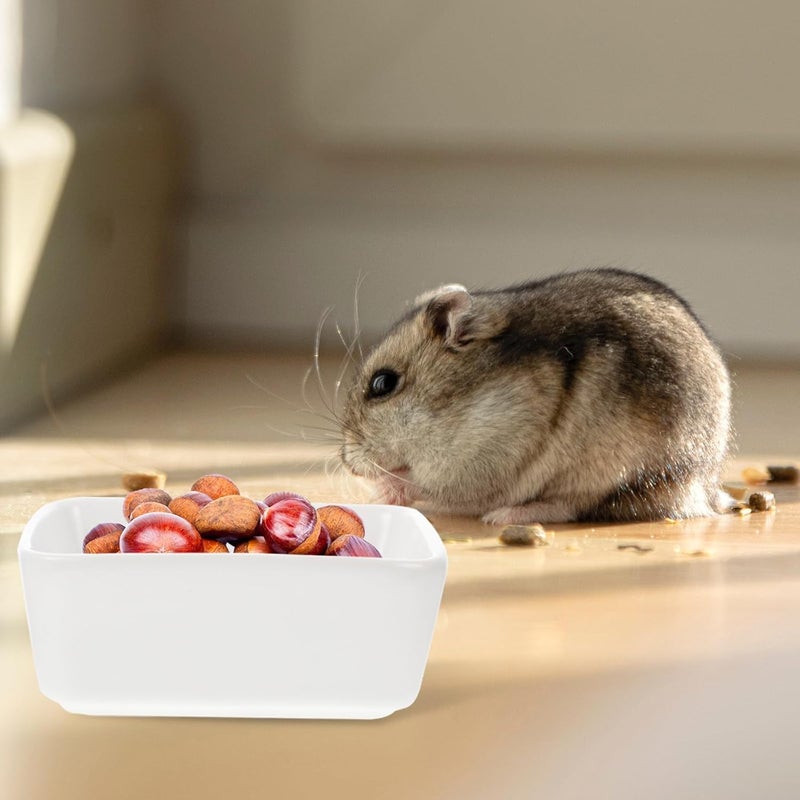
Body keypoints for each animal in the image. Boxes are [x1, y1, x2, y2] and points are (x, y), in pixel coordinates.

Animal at [339, 268, 732, 524]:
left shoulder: (485, 454)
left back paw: (505, 516)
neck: (460, 407)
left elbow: (422, 482)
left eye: (383, 384)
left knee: (572, 507)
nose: (348, 463)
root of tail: (706, 486)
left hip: (610, 472)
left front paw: (382, 490)